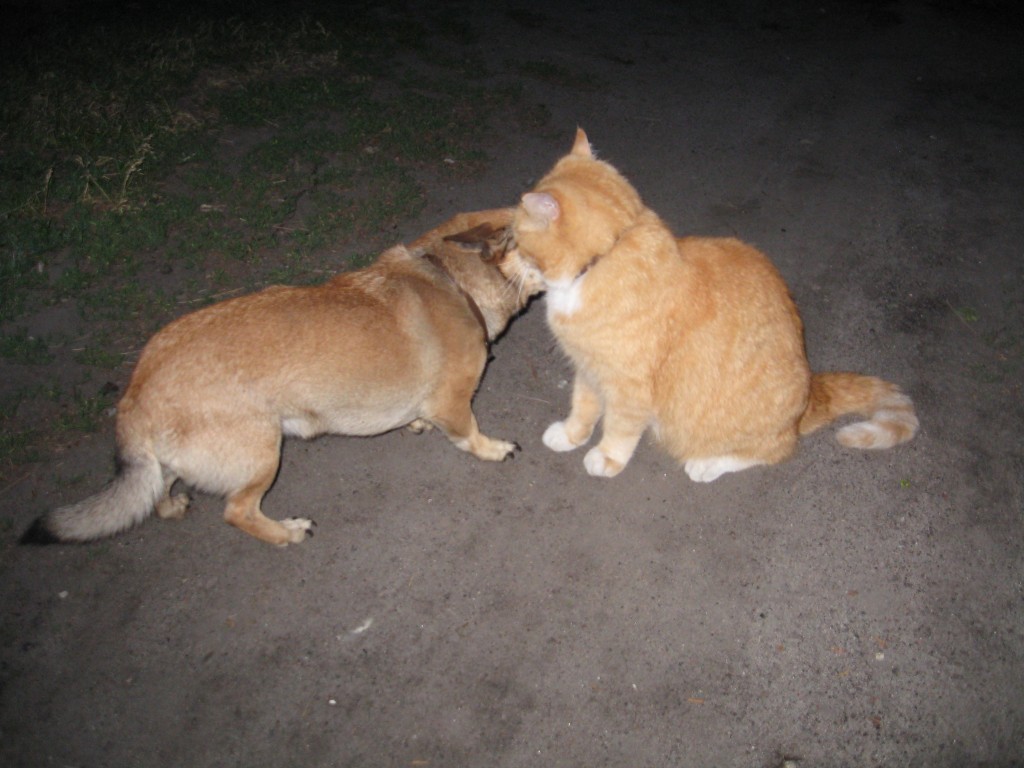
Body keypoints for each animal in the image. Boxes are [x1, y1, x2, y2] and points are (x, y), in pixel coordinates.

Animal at [22, 208, 541, 546]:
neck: (451, 279)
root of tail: (135, 393)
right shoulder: (454, 402)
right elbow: (468, 433)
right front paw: (493, 449)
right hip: (263, 452)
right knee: (237, 511)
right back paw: (285, 533)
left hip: (182, 459)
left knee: (157, 487)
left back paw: (171, 506)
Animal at [507, 128, 918, 482]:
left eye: (516, 237)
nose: (508, 253)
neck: (599, 262)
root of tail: (812, 391)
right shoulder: (588, 368)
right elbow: (583, 406)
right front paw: (571, 435)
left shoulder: (628, 386)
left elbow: (620, 427)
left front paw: (607, 457)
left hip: (749, 432)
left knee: (774, 450)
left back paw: (708, 464)